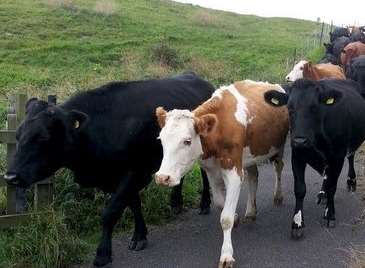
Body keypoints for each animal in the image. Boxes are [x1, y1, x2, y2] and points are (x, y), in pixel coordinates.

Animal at [3, 72, 213, 266]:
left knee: (205, 175)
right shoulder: (119, 177)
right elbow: (133, 204)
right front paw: (140, 235)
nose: (10, 176)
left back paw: (204, 204)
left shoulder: (136, 172)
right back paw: (176, 203)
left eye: (43, 137)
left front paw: (103, 253)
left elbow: (110, 212)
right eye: (18, 135)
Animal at [153, 80, 288, 268]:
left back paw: (278, 196)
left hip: (278, 147)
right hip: (249, 155)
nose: (162, 177)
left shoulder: (233, 171)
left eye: (187, 141)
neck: (218, 128)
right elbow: (218, 203)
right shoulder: (211, 170)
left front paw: (226, 255)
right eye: (161, 140)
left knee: (278, 167)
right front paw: (236, 217)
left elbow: (226, 218)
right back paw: (250, 212)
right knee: (253, 176)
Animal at [264, 79, 364, 239]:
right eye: (290, 108)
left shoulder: (337, 157)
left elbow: (332, 186)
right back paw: (322, 194)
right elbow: (300, 189)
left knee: (350, 157)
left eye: (314, 108)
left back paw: (351, 181)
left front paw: (329, 215)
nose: (299, 140)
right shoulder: (297, 156)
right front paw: (297, 223)